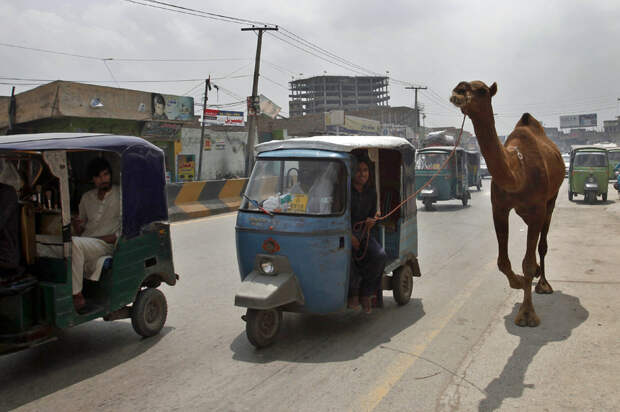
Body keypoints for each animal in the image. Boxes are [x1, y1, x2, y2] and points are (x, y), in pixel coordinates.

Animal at [448, 80, 564, 326]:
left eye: (481, 90)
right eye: (461, 86)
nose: (459, 91)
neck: (518, 171)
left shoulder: (538, 208)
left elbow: (527, 262)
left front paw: (527, 314)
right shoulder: (499, 207)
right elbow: (503, 261)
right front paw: (518, 282)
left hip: (552, 199)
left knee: (543, 243)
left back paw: (543, 284)